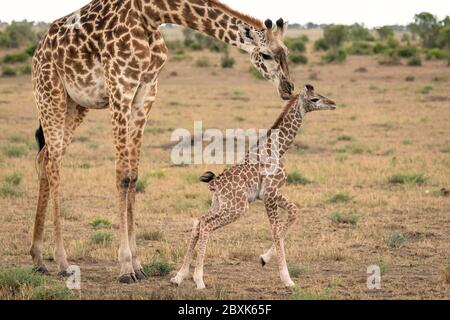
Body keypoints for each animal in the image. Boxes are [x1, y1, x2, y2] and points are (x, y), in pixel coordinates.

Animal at [29, 0, 294, 284]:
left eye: (286, 52)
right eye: (266, 55)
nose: (288, 88)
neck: (152, 13)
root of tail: (38, 50)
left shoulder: (146, 91)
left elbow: (132, 176)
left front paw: (137, 265)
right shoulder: (120, 88)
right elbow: (121, 176)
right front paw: (125, 267)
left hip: (76, 104)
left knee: (45, 157)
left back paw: (38, 258)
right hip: (50, 93)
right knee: (54, 163)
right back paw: (62, 261)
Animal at [171, 84, 336, 288]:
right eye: (315, 99)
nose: (333, 103)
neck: (278, 149)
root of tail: (215, 183)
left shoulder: (269, 193)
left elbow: (294, 211)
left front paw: (264, 258)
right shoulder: (270, 192)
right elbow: (276, 230)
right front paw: (287, 279)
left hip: (220, 204)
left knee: (199, 222)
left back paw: (179, 276)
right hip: (238, 207)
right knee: (207, 226)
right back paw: (199, 280)